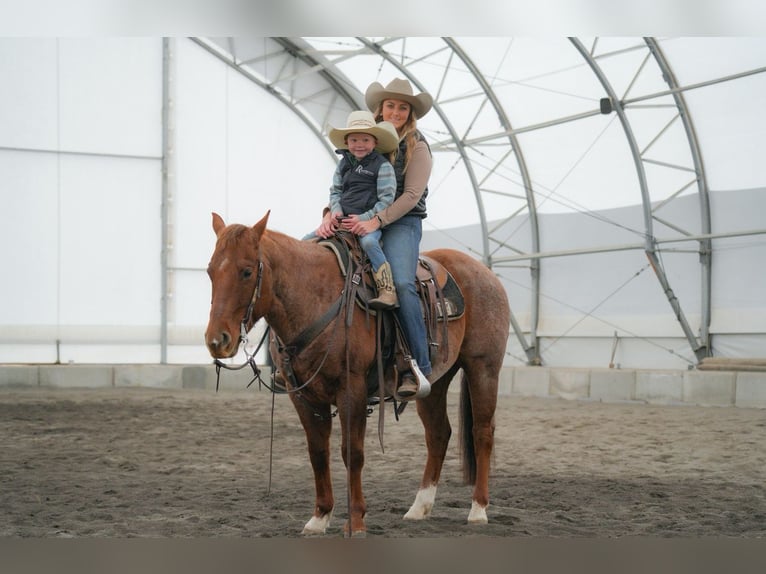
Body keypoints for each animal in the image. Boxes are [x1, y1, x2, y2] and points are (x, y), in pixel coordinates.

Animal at [204, 211, 511, 536]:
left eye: (247, 271)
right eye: (210, 271)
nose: (217, 340)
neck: (315, 298)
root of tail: (485, 273)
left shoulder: (352, 390)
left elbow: (352, 452)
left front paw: (356, 520)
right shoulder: (303, 395)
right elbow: (318, 452)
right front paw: (320, 517)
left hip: (483, 367)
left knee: (482, 432)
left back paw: (478, 509)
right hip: (434, 382)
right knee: (438, 434)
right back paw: (419, 508)